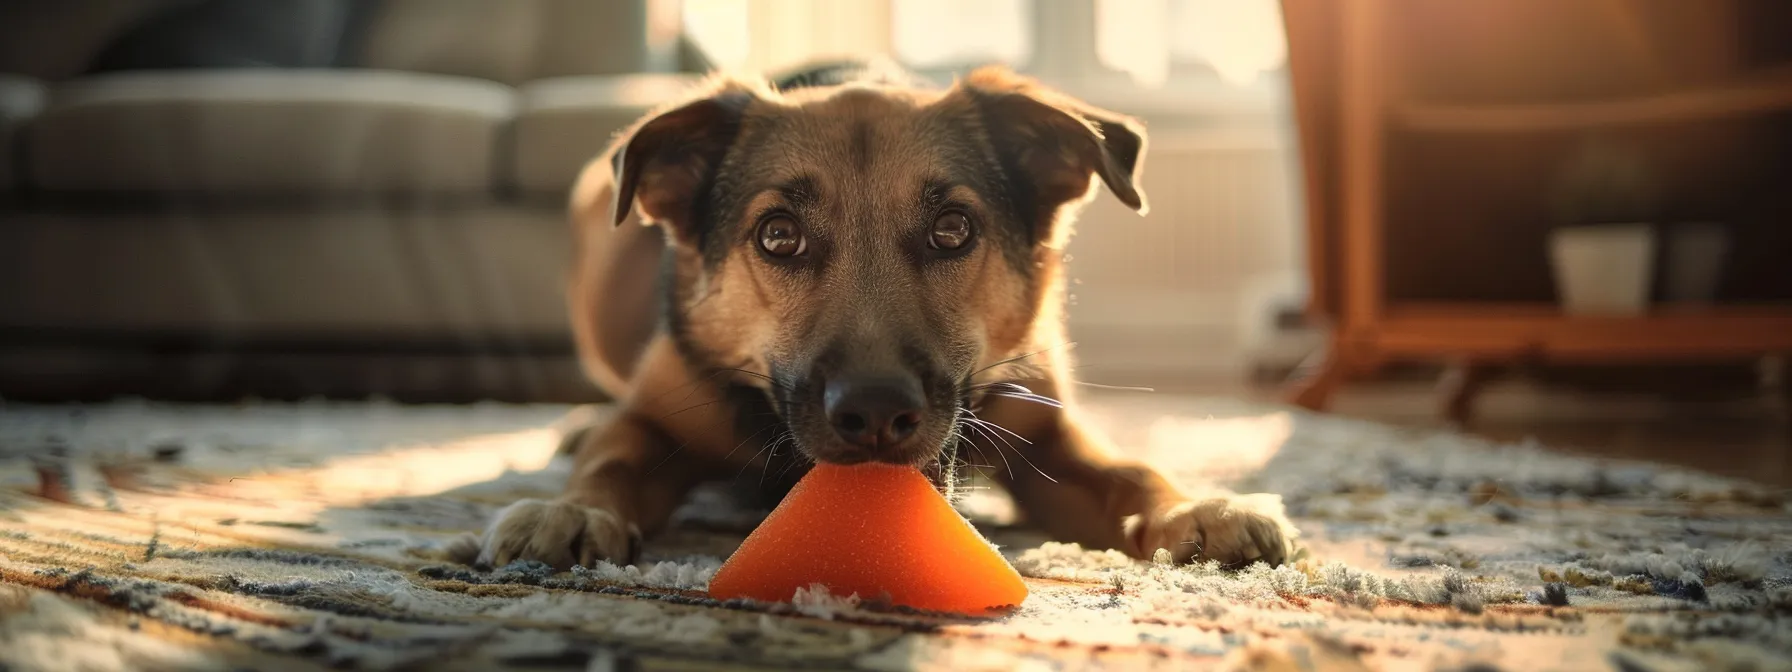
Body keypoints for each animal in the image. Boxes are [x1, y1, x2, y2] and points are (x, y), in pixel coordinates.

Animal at [469, 61, 1297, 573]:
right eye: (778, 236)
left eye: (953, 229)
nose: (873, 416)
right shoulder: (658, 416)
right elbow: (612, 455)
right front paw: (569, 509)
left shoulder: (1047, 433)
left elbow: (1128, 466)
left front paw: (1194, 506)